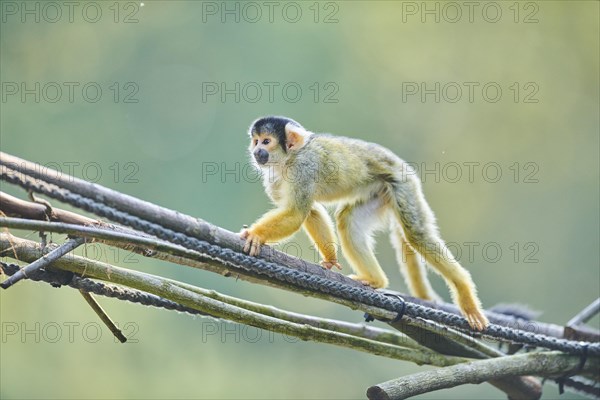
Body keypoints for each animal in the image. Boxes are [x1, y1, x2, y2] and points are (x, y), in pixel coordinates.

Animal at [241, 116, 490, 332]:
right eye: (255, 141)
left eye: (266, 141)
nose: (256, 151)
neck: (288, 159)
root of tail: (399, 163)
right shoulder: (274, 179)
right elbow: (310, 212)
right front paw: (330, 257)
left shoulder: (304, 167)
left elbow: (296, 214)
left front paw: (255, 235)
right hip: (379, 191)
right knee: (348, 220)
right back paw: (375, 279)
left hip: (402, 183)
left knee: (416, 234)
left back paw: (464, 290)